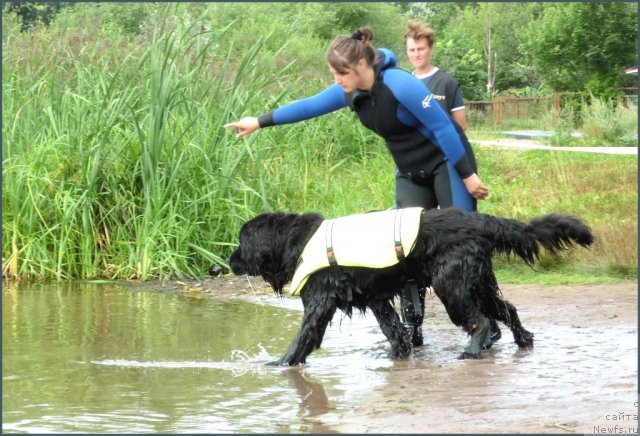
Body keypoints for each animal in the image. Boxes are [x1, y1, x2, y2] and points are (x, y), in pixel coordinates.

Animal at [228, 208, 592, 364]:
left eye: (242, 242)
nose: (226, 262)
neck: (298, 240)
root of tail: (479, 220)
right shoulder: (375, 298)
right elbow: (394, 328)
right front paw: (398, 353)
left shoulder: (319, 300)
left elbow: (304, 336)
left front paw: (280, 363)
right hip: (478, 280)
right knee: (506, 309)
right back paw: (523, 339)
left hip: (452, 284)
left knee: (481, 320)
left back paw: (472, 351)